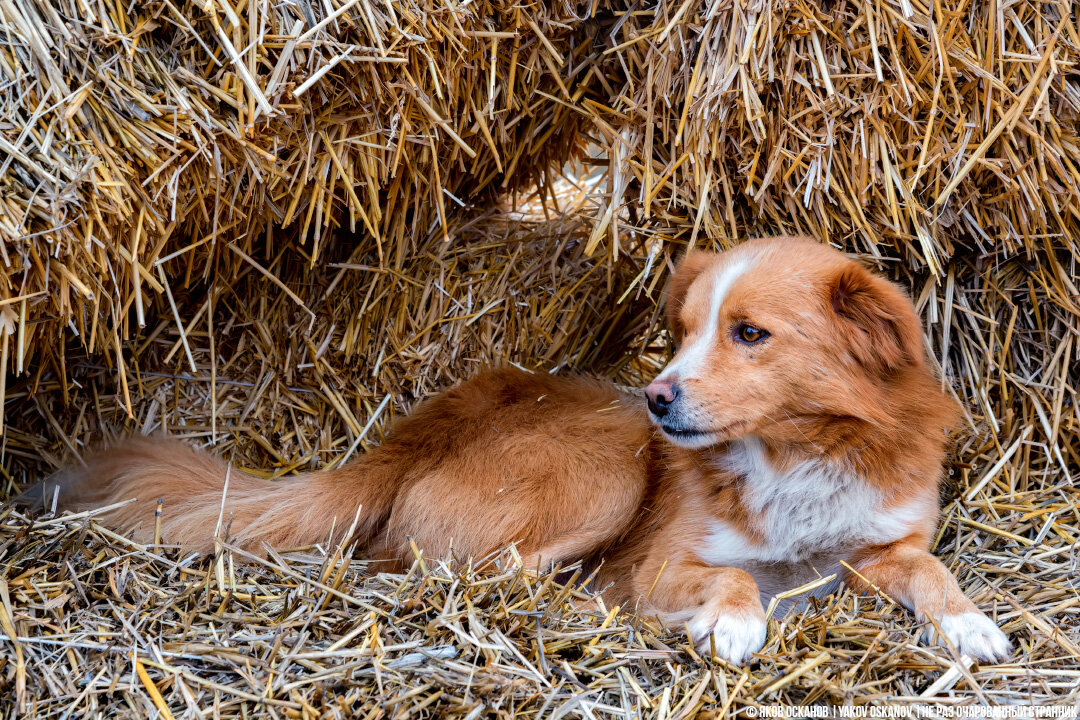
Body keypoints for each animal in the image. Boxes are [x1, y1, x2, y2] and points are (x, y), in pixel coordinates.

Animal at [42, 236, 1006, 664]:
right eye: (683, 333)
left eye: (750, 334)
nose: (658, 396)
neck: (795, 451)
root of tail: (418, 431)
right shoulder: (666, 559)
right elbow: (731, 579)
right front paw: (733, 620)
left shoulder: (879, 545)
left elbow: (929, 569)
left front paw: (969, 623)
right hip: (610, 466)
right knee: (471, 575)